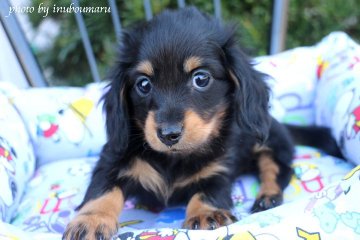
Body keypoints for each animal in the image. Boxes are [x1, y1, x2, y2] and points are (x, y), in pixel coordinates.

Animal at [64, 6, 296, 239]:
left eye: (201, 78)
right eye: (143, 84)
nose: (169, 134)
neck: (173, 160)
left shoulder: (218, 170)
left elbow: (207, 192)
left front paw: (206, 214)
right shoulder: (111, 160)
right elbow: (102, 190)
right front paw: (91, 220)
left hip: (274, 142)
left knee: (276, 168)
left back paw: (268, 197)